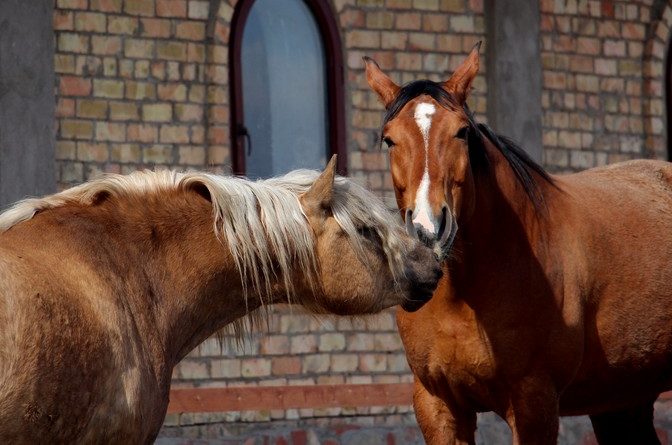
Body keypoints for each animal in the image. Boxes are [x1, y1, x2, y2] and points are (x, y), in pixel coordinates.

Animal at [368, 46, 672, 444]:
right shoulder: (437, 404)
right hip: (621, 397)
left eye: (461, 132)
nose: (428, 229)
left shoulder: (533, 401)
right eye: (390, 140)